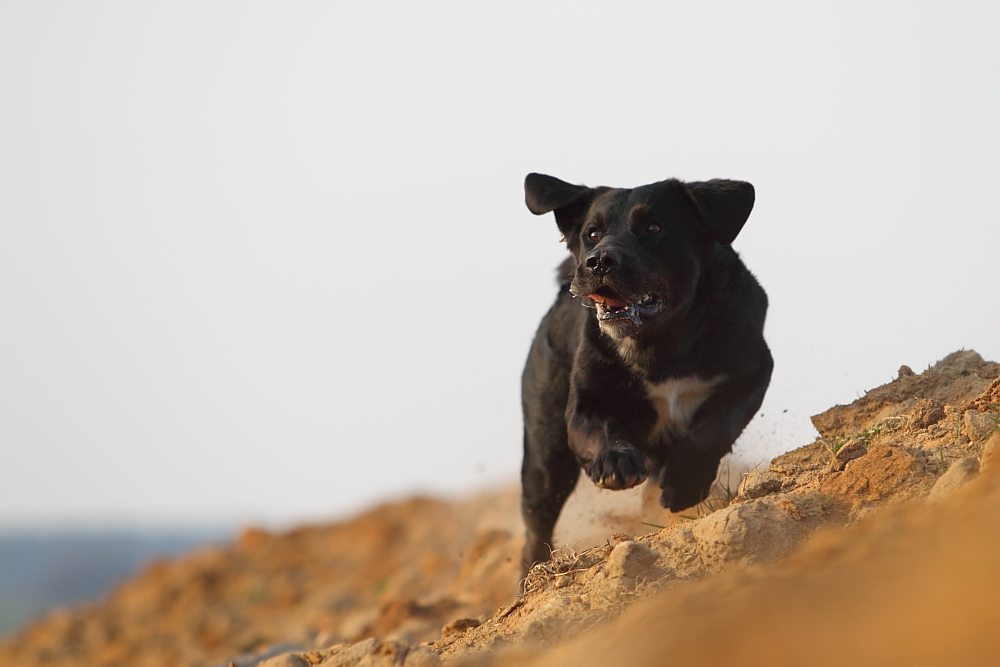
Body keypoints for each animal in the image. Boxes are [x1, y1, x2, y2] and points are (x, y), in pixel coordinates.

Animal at [520, 175, 768, 576]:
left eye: (654, 227)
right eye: (592, 233)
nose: (599, 260)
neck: (661, 343)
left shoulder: (753, 372)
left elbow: (713, 429)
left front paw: (684, 485)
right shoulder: (586, 404)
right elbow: (603, 430)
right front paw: (617, 464)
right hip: (545, 457)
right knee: (535, 530)